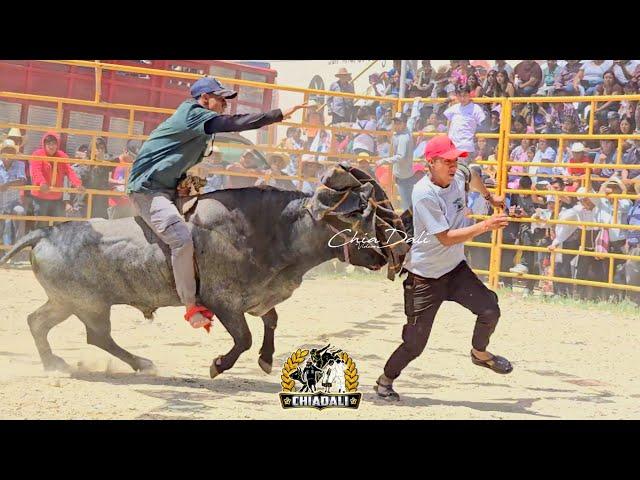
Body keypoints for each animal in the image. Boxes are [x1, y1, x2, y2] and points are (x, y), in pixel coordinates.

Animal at [0, 165, 408, 378]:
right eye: (355, 216)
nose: (383, 256)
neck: (268, 230)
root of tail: (46, 232)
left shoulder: (256, 299)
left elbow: (271, 321)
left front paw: (266, 359)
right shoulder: (222, 302)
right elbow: (243, 338)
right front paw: (219, 364)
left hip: (66, 302)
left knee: (38, 322)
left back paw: (54, 363)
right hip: (89, 306)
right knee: (97, 336)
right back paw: (139, 363)